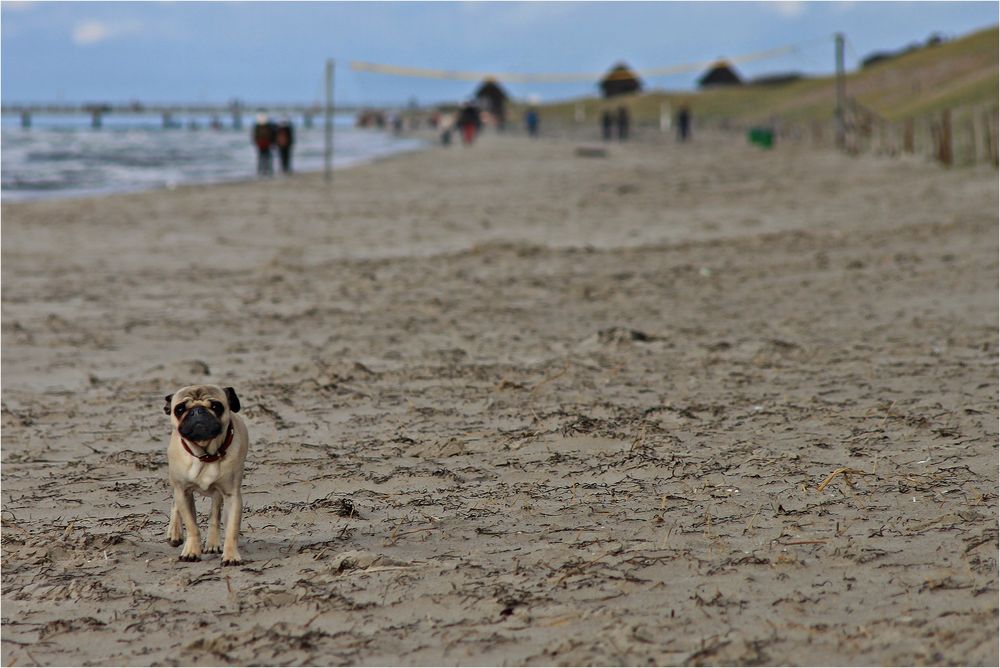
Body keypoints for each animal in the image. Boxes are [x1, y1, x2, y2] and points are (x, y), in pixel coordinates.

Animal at [164, 384, 250, 568]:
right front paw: (191, 551)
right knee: (175, 503)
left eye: (217, 406)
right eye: (179, 409)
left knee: (214, 514)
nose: (197, 411)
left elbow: (231, 529)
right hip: (176, 483)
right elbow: (192, 526)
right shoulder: (183, 492)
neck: (206, 455)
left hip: (218, 494)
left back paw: (212, 543)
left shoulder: (232, 496)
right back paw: (174, 533)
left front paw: (231, 555)